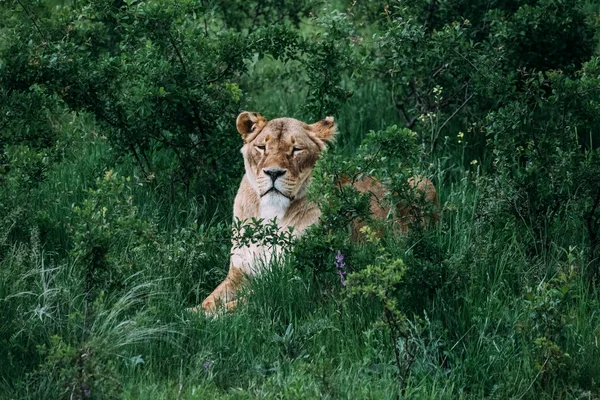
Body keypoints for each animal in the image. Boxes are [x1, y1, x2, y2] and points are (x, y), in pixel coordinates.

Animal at [193, 112, 440, 316]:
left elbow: (248, 300)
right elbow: (210, 299)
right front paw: (191, 313)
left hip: (421, 182)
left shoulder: (299, 279)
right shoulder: (240, 272)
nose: (273, 172)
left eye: (296, 149)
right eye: (262, 147)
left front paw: (207, 318)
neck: (270, 213)